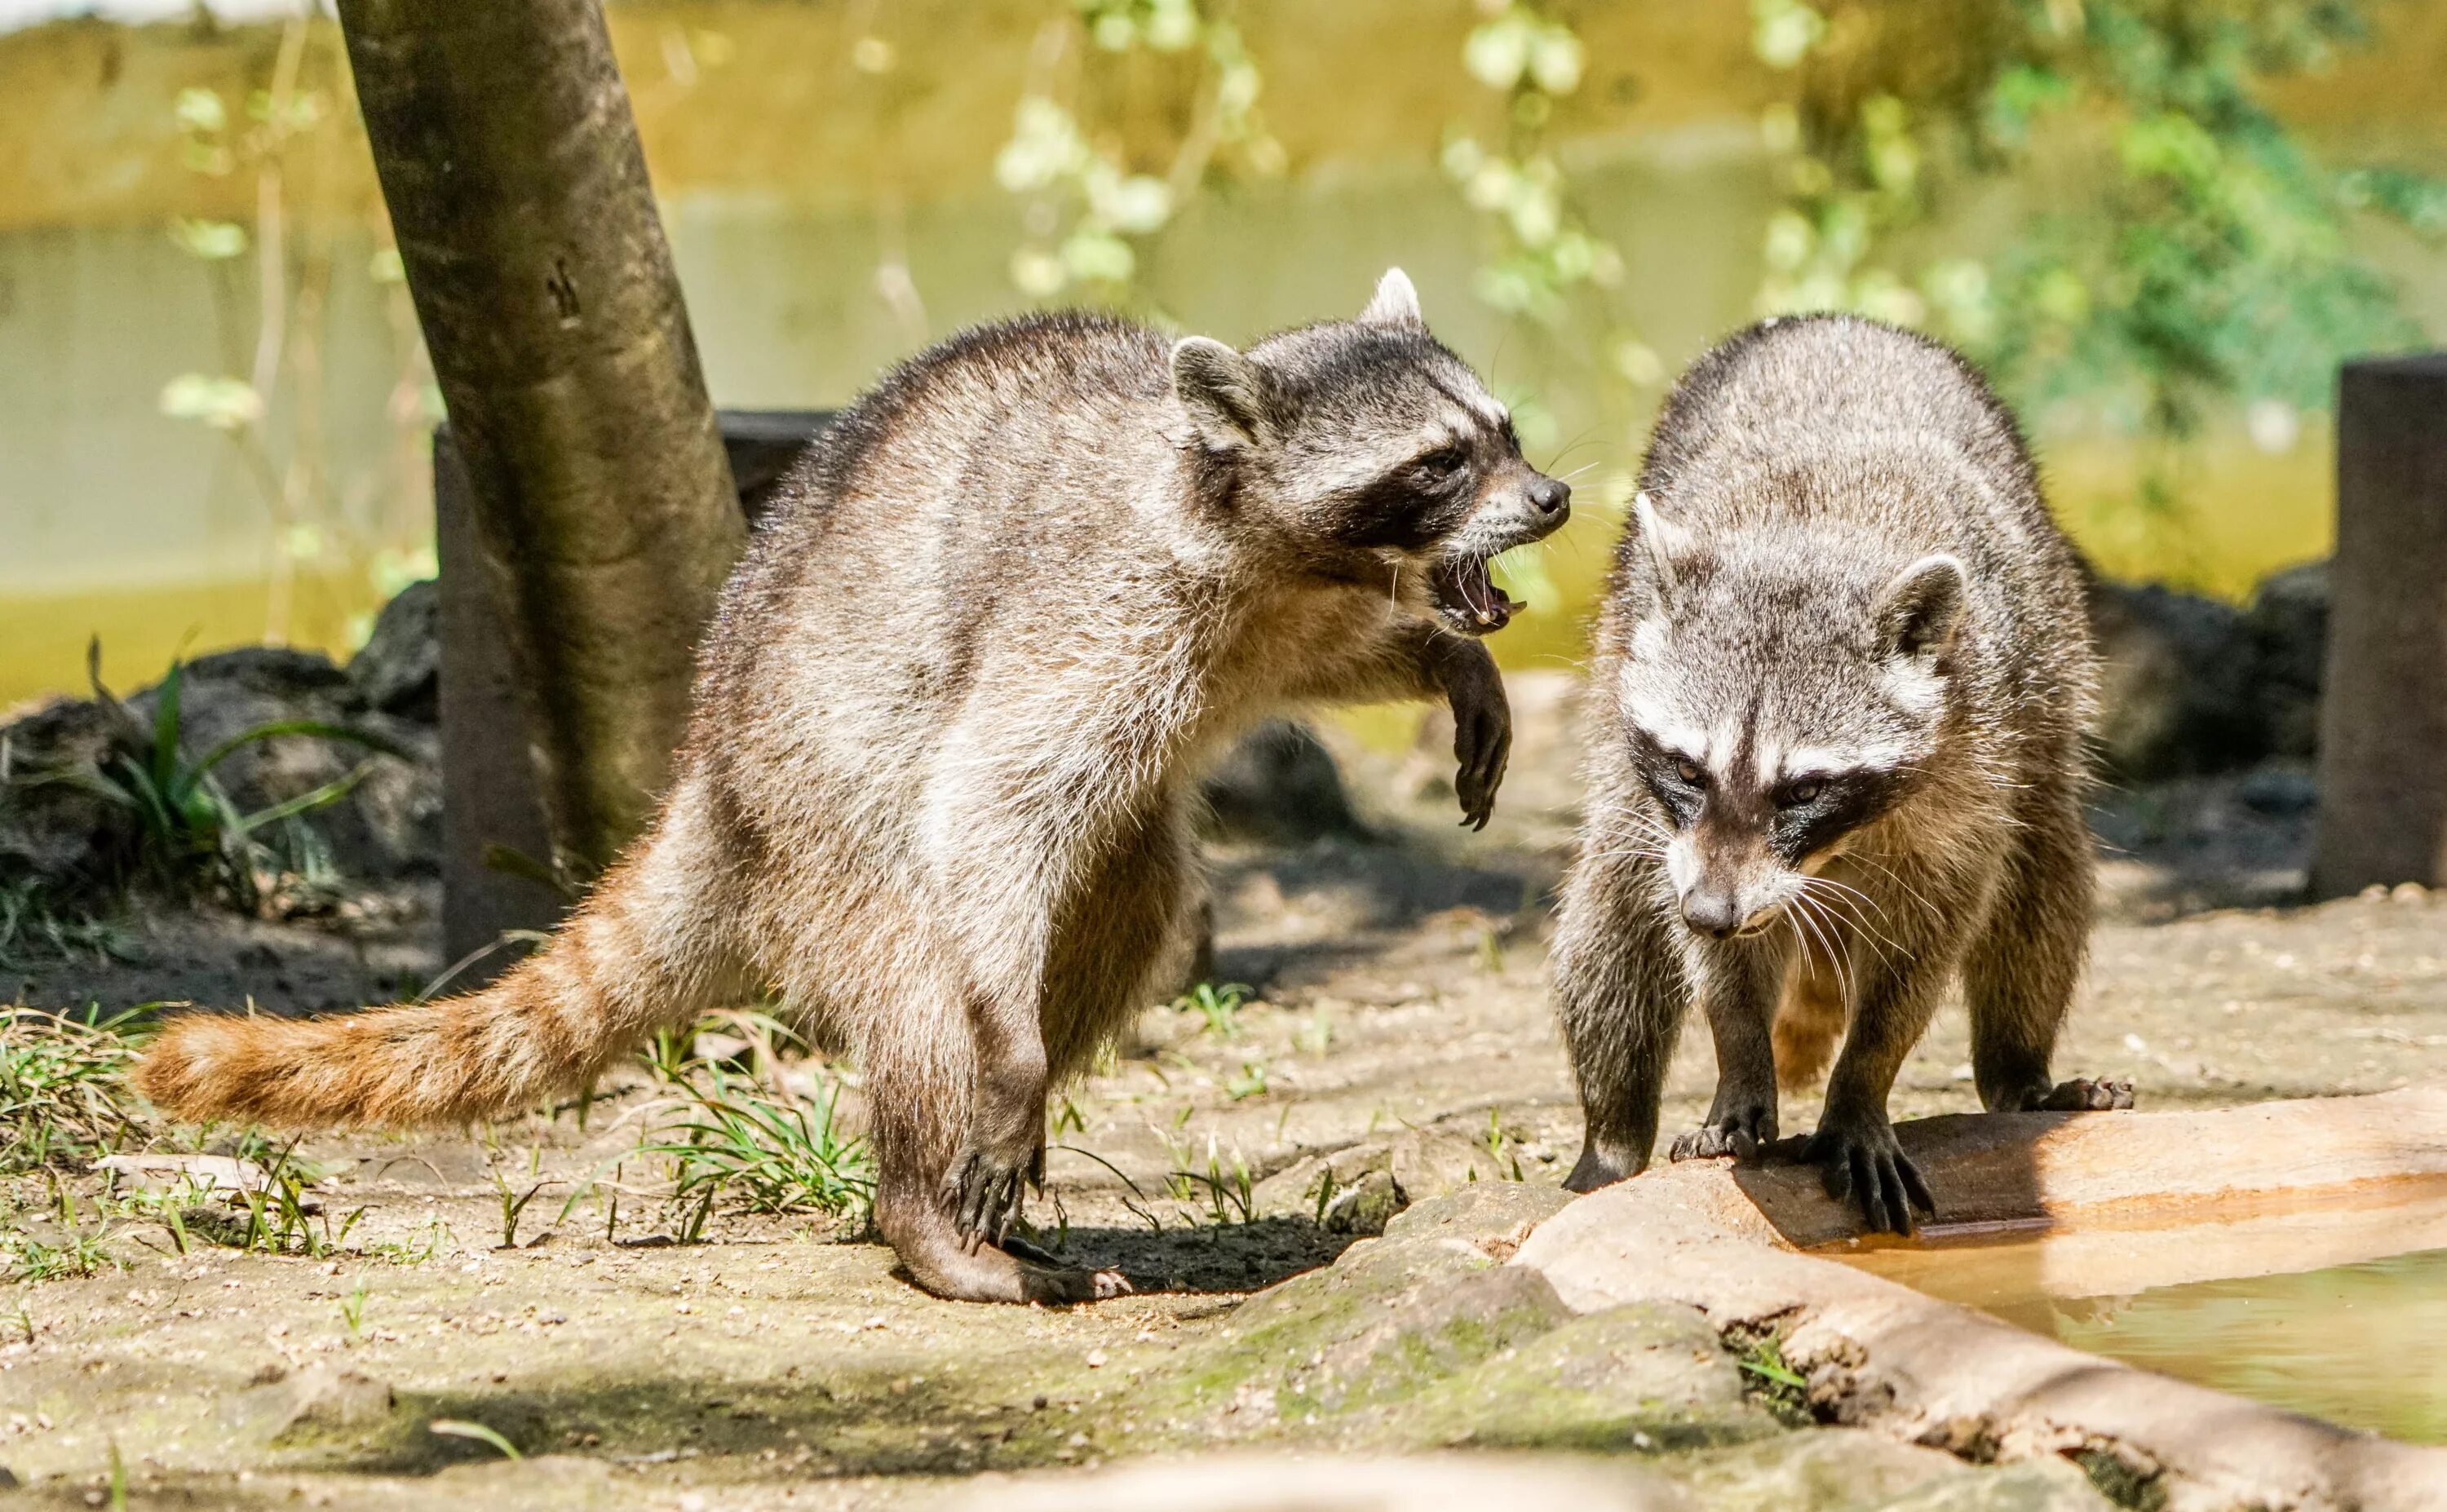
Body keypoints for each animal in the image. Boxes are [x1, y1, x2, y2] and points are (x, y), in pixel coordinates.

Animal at [143, 267, 1576, 1292]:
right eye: (1440, 463)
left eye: (1503, 432)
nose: (1557, 496)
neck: (1262, 528)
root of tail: (711, 785)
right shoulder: (1095, 604)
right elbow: (992, 794)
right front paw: (1003, 1075)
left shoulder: (1277, 612)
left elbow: (1344, 655)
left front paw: (1446, 656)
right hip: (828, 823)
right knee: (935, 976)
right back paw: (931, 1194)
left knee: (1128, 911)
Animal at [1556, 316, 2134, 1223]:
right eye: (1689, 770)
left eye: (1805, 790)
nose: (1713, 913)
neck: (1812, 537)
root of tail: (1840, 320)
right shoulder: (1672, 812)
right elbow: (1705, 952)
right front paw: (1739, 1055)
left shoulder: (1975, 752)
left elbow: (1928, 937)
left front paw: (1864, 1081)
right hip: (1621, 660)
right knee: (1611, 908)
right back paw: (1611, 1138)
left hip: (2048, 673)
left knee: (2043, 870)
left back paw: (2020, 1075)